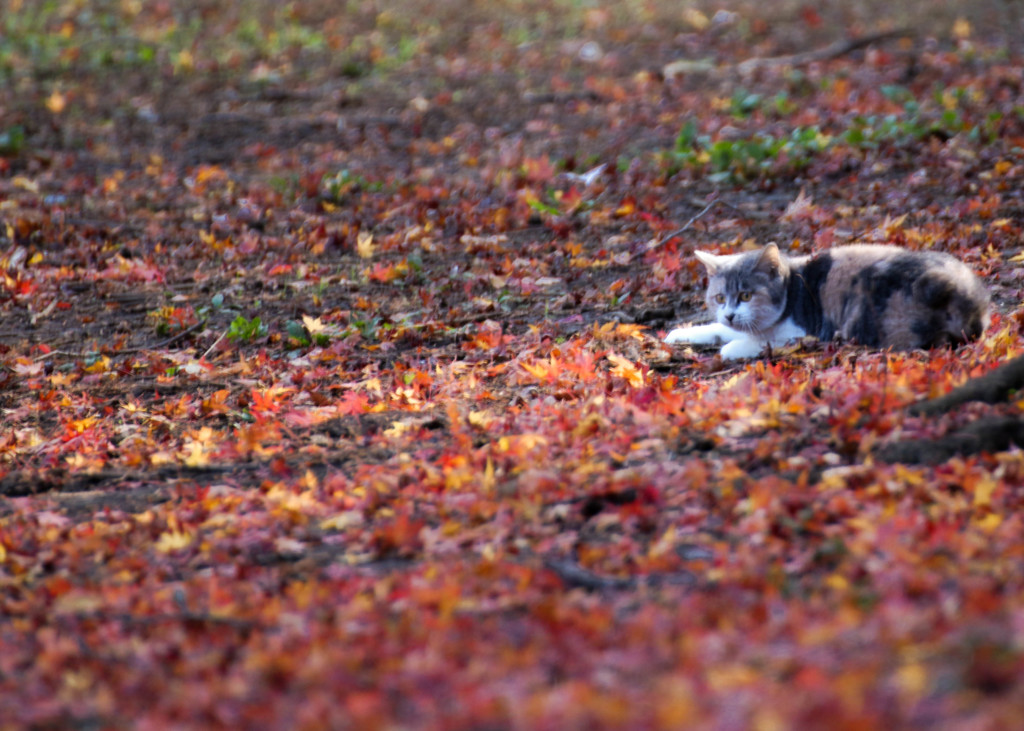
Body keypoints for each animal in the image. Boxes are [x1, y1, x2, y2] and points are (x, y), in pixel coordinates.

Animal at [663, 243, 991, 360]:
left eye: (746, 295)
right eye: (719, 298)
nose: (730, 313)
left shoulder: (803, 333)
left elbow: (748, 342)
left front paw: (731, 347)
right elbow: (719, 328)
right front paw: (678, 334)